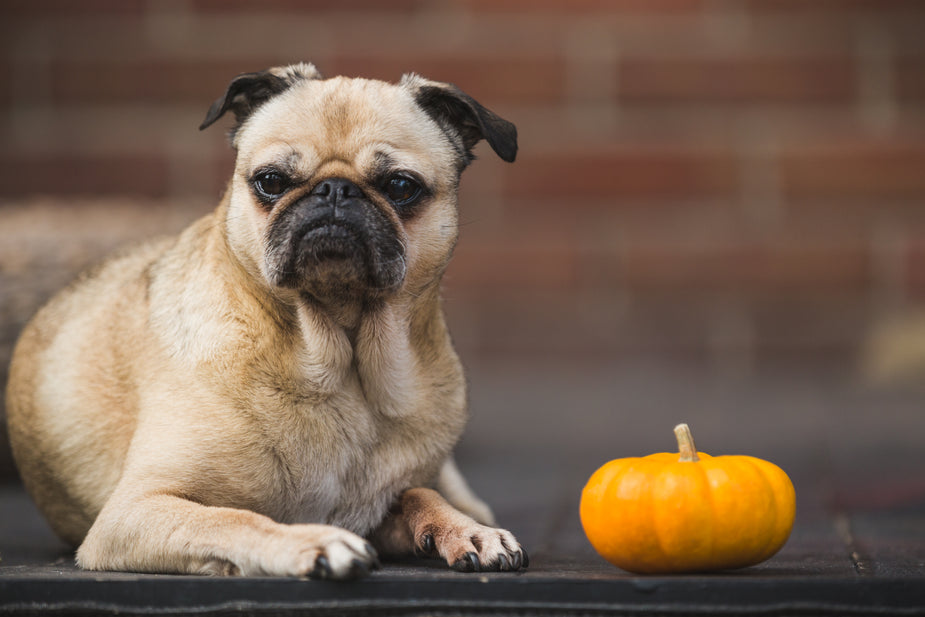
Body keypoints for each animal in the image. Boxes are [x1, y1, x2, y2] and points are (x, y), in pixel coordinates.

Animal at [7, 63, 524, 576]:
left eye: (400, 186)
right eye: (271, 181)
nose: (335, 189)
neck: (339, 362)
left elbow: (418, 494)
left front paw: (463, 529)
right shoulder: (133, 510)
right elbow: (232, 518)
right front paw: (312, 541)